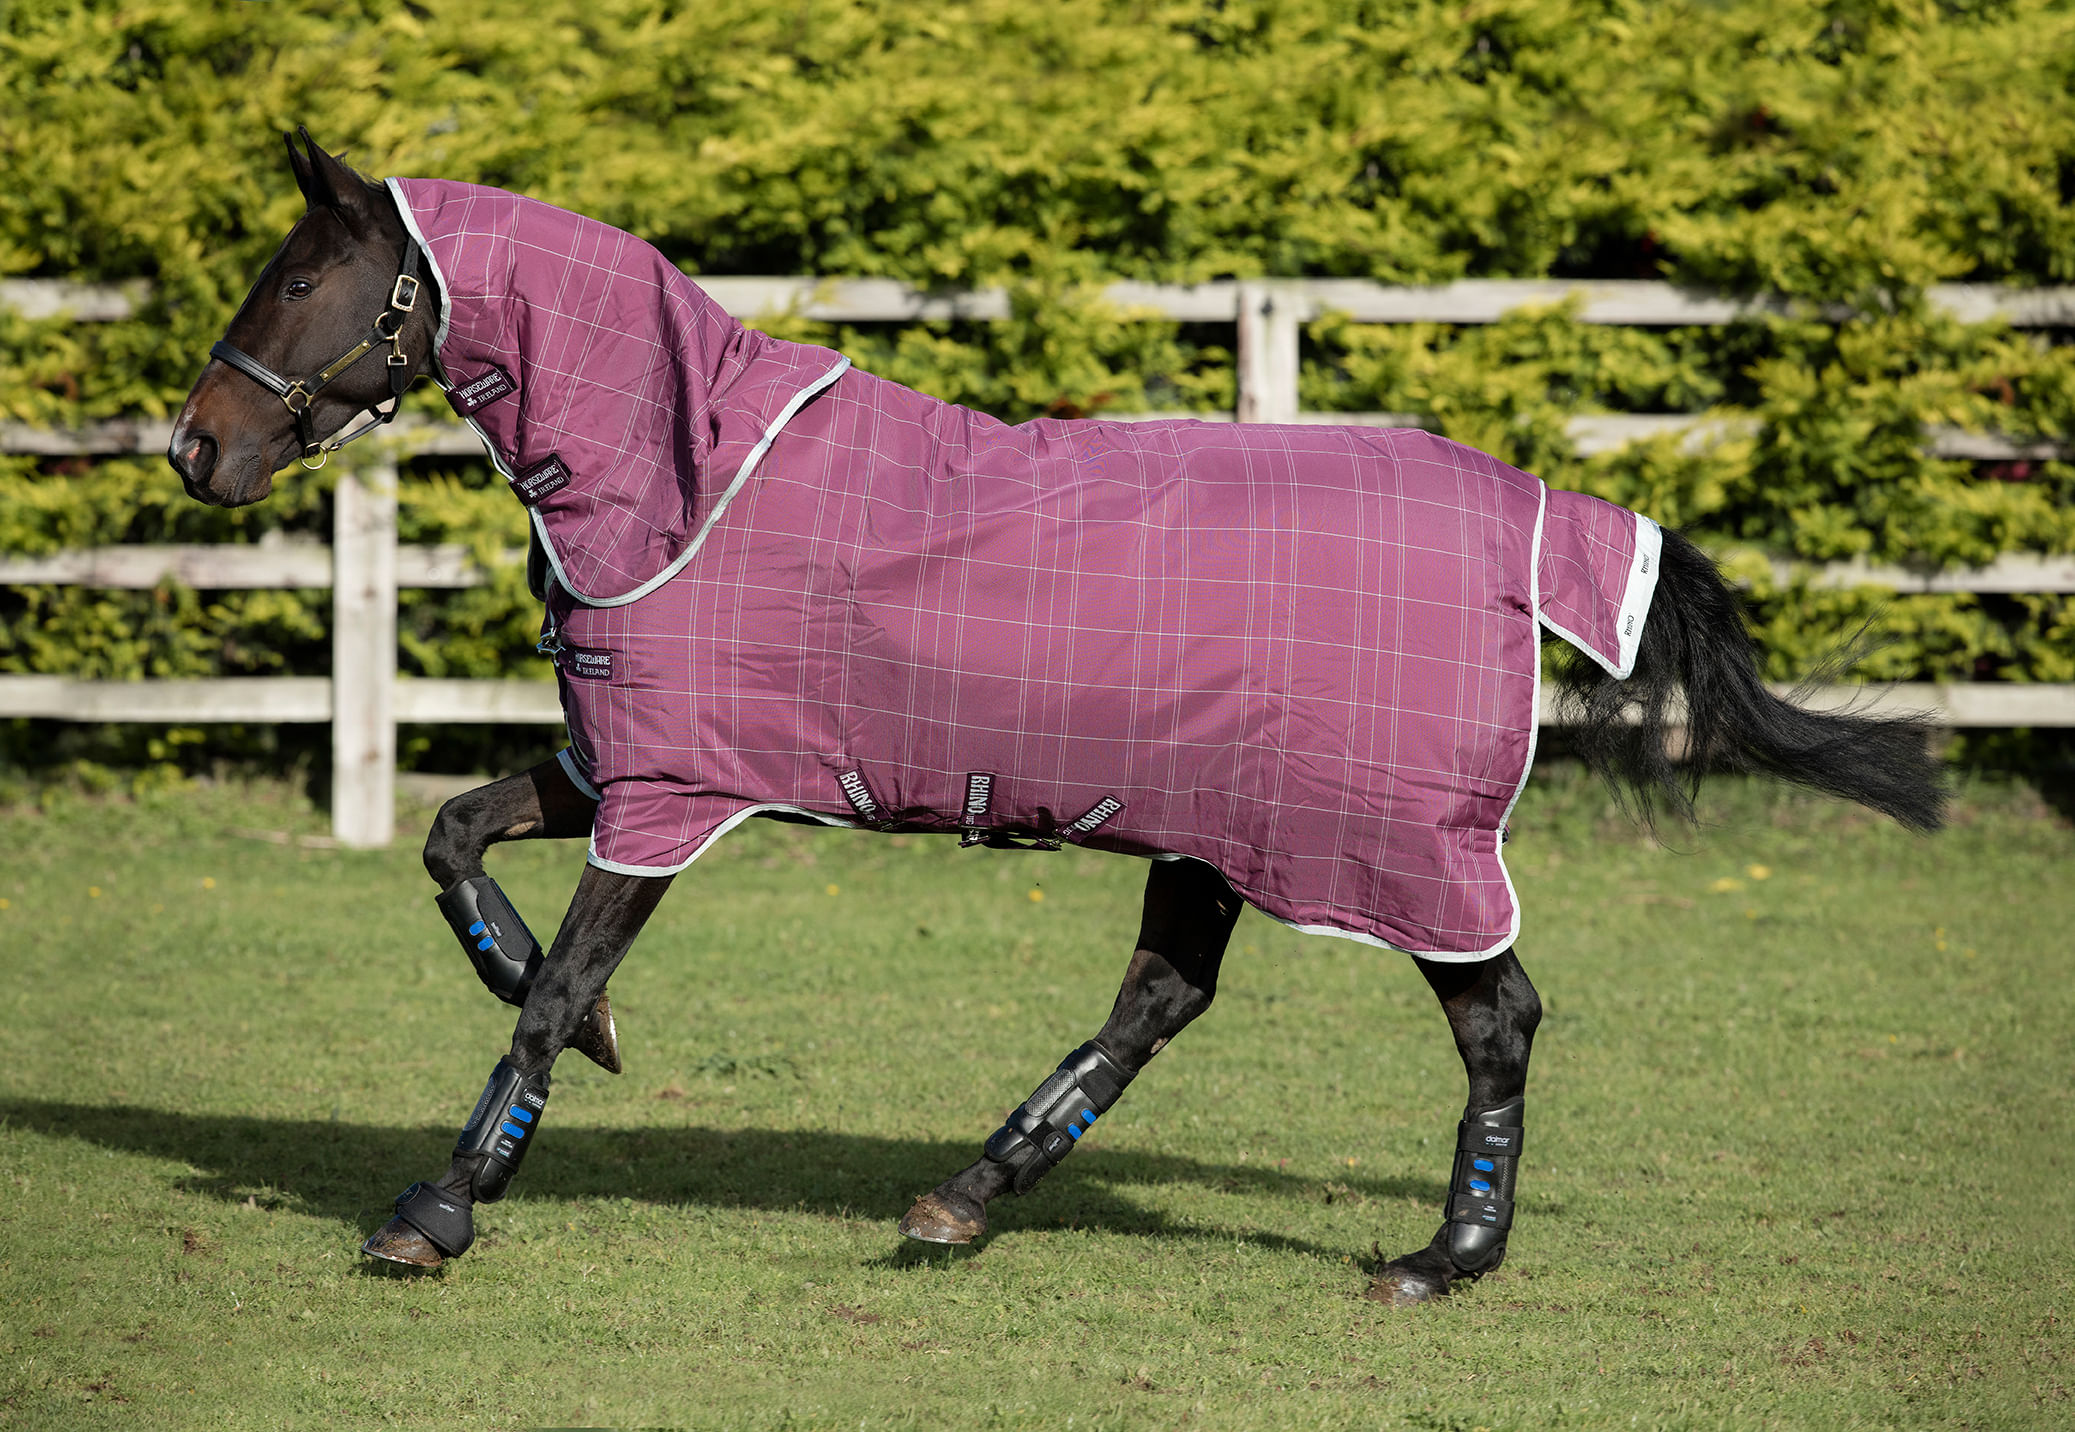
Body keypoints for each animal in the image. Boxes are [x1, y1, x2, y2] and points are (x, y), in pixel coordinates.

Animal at [169, 131, 1945, 1304]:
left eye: (309, 273)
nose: (195, 449)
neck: (683, 474)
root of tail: (1532, 512)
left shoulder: (667, 793)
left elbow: (544, 1000)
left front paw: (439, 1207)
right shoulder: (634, 761)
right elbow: (455, 845)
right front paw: (569, 1029)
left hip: (1380, 846)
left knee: (1490, 1015)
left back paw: (1444, 1256)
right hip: (1217, 826)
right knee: (1163, 996)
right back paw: (964, 1197)